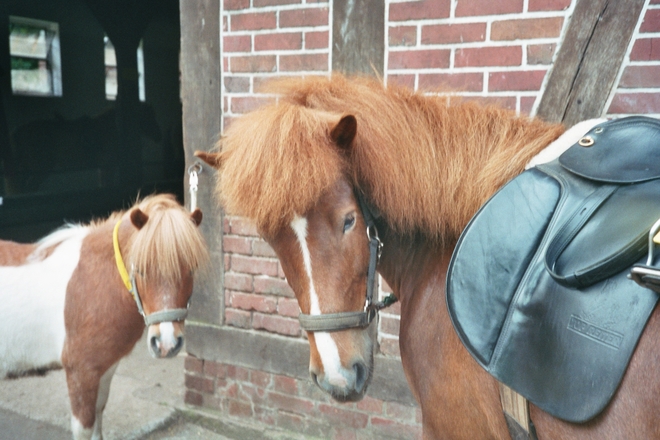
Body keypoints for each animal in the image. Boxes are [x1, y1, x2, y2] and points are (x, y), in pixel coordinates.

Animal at [0, 194, 206, 440]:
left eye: (192, 268)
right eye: (141, 269)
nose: (167, 344)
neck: (95, 282)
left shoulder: (104, 369)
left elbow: (99, 416)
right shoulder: (81, 373)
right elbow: (85, 427)